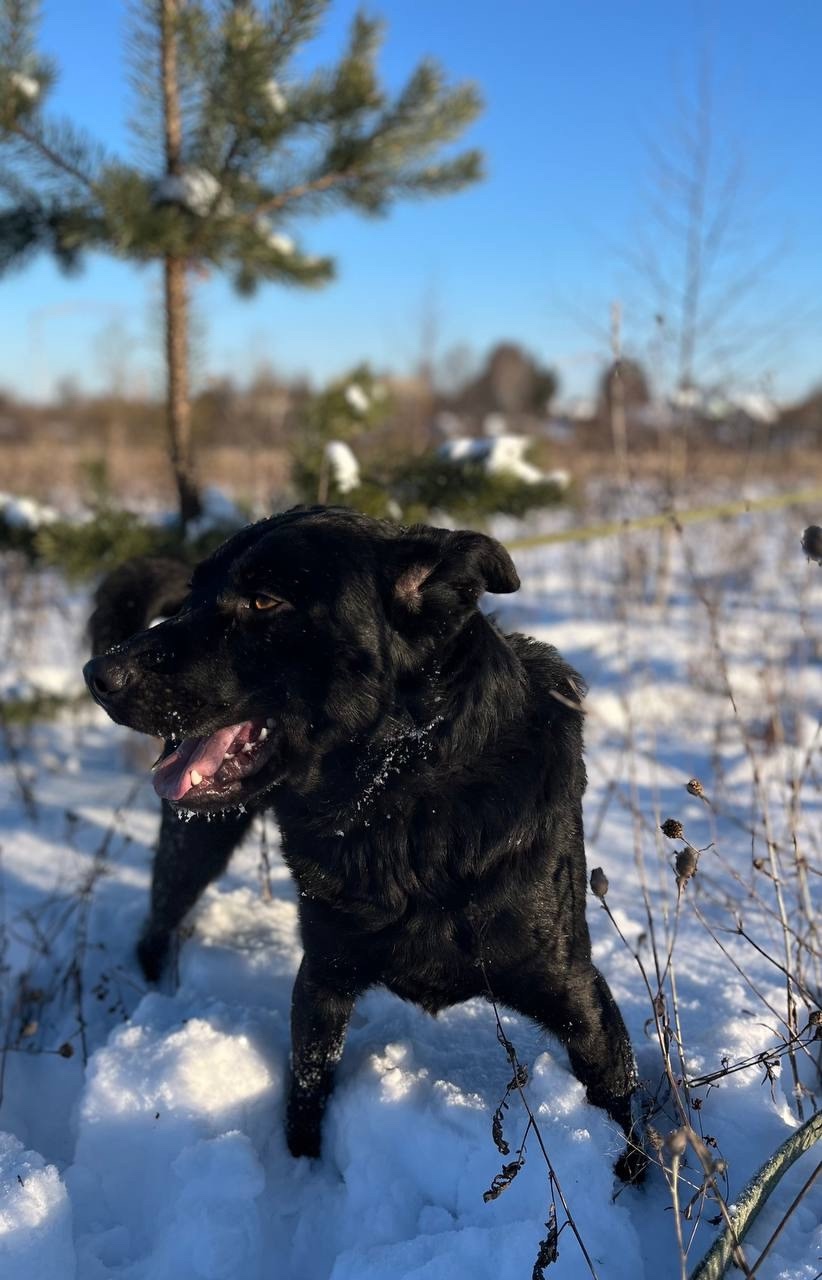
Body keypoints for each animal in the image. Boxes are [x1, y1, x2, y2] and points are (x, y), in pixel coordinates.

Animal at [84, 506, 640, 1175]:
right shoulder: (323, 979)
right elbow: (306, 1093)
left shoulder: (581, 999)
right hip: (192, 850)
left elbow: (623, 1116)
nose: (97, 675)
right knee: (157, 923)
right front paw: (302, 1177)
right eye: (194, 595)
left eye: (264, 600)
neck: (406, 807)